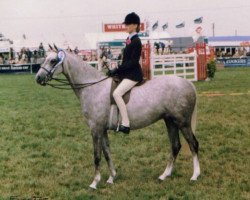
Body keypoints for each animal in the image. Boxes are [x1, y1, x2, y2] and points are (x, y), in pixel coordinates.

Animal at [35, 47, 200, 189]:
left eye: (53, 60)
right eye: (45, 58)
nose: (38, 78)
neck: (92, 87)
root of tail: (188, 83)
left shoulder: (95, 129)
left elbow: (97, 155)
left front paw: (94, 182)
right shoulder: (102, 129)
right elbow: (107, 152)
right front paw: (111, 177)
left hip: (182, 122)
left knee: (193, 144)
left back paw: (195, 176)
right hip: (170, 121)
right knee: (175, 146)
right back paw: (164, 175)